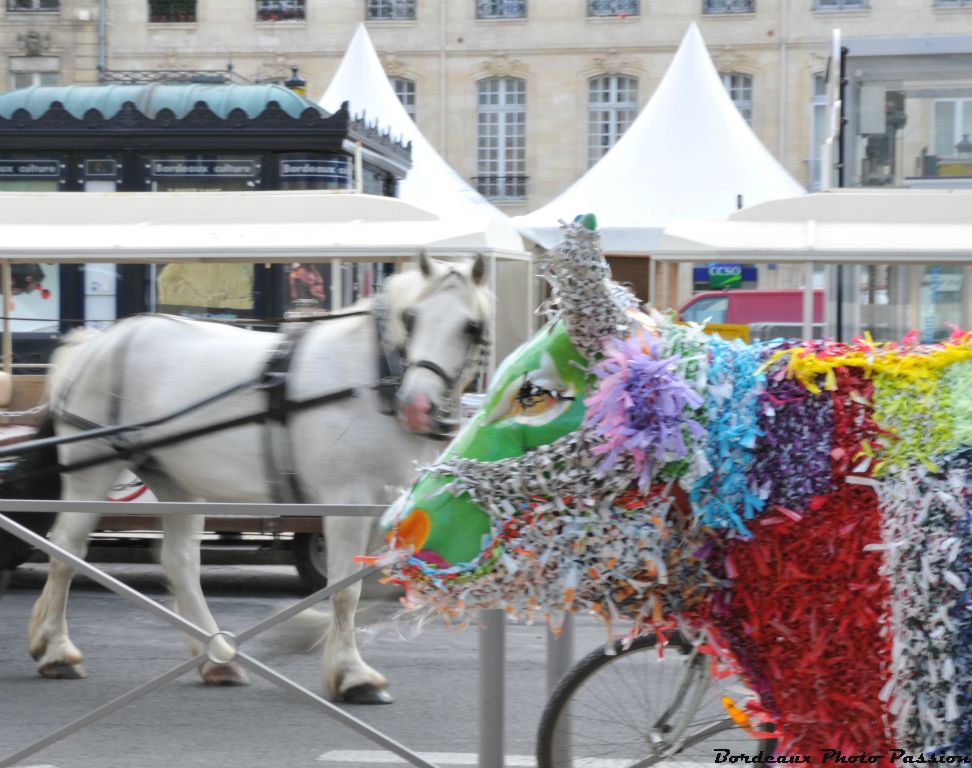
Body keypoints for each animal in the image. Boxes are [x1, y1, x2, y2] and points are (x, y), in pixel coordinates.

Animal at [25, 255, 490, 704]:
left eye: (471, 326)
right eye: (412, 317)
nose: (417, 406)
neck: (374, 380)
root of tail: (94, 342)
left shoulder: (388, 504)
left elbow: (375, 585)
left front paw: (307, 634)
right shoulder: (348, 501)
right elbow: (346, 590)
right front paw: (352, 676)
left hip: (177, 482)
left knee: (179, 561)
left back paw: (217, 659)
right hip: (91, 469)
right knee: (67, 547)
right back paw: (56, 649)